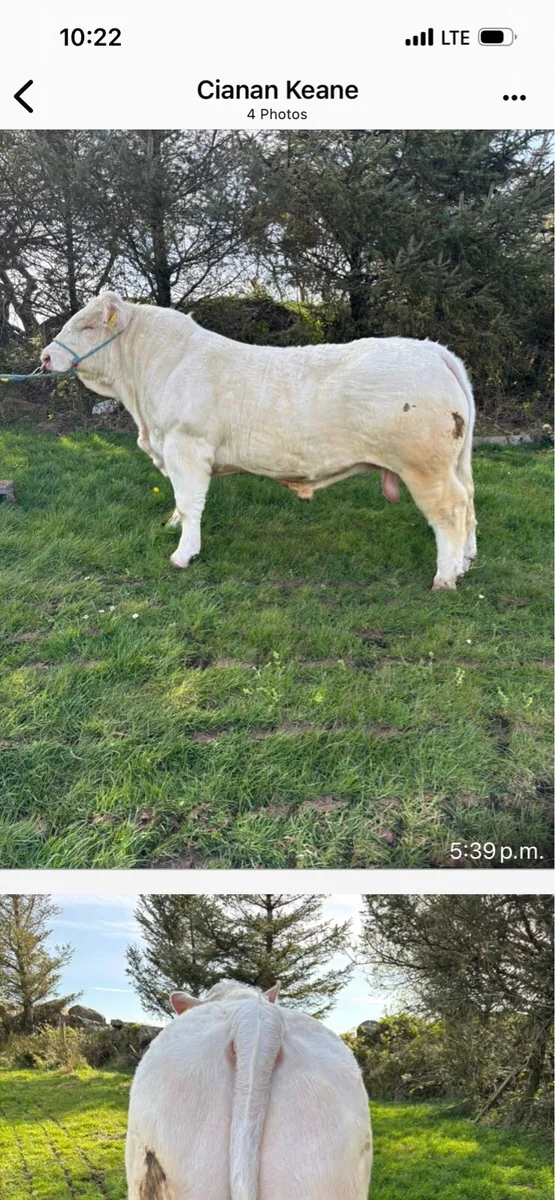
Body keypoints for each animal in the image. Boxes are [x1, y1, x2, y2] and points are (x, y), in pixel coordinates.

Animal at [41, 292, 477, 589]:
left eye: (87, 326)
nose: (45, 357)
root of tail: (431, 350)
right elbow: (180, 503)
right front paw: (172, 526)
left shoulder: (186, 446)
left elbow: (190, 501)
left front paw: (183, 553)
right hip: (452, 463)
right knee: (469, 502)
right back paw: (467, 558)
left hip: (425, 466)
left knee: (450, 509)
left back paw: (446, 575)